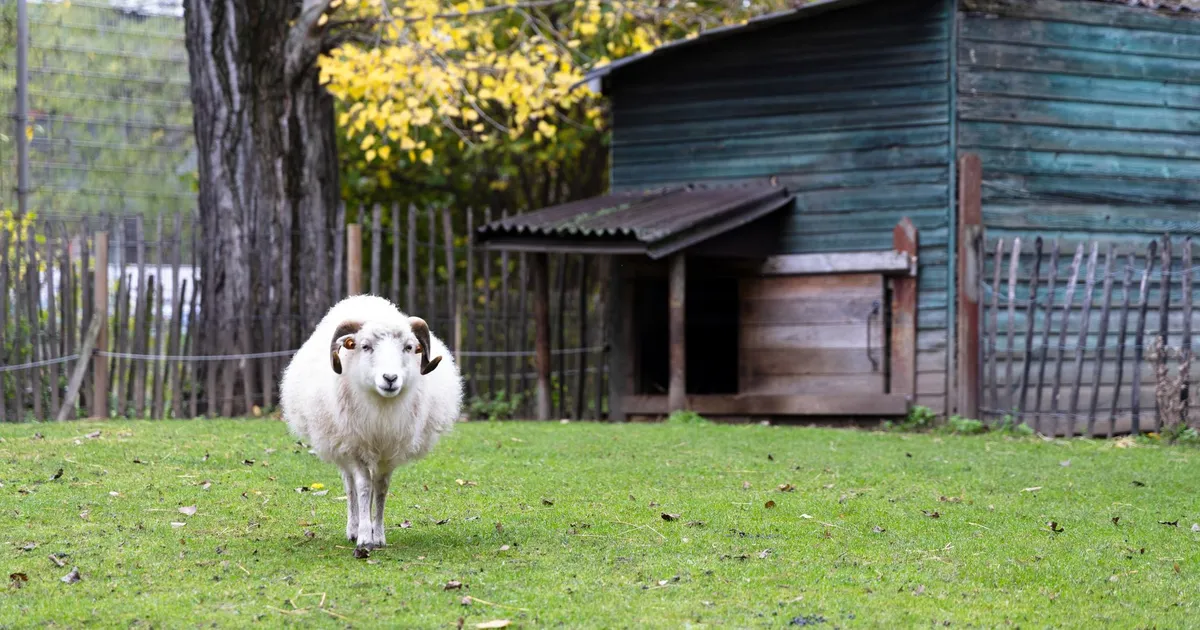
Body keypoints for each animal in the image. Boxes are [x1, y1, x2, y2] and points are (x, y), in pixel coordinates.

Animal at [279, 294, 463, 551]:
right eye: (365, 346)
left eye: (408, 347)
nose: (390, 378)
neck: (381, 409)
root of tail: (363, 298)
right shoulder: (355, 448)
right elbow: (364, 488)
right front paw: (365, 537)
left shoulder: (389, 452)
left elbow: (381, 489)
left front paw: (379, 536)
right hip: (340, 445)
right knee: (351, 487)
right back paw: (354, 529)